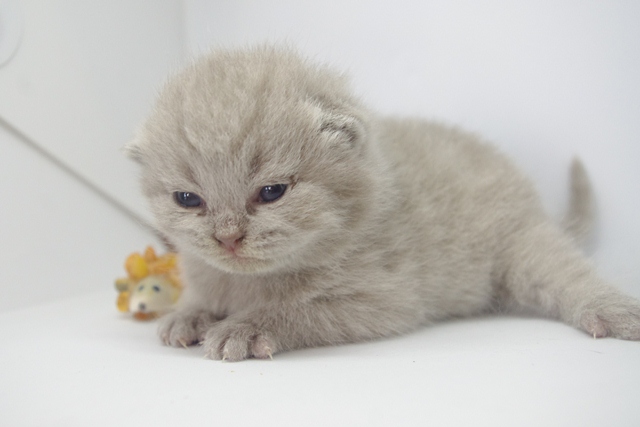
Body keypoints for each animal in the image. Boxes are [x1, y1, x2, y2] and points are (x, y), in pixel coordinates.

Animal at [126, 45, 640, 361]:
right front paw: (188, 314)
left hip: (521, 248)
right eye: (188, 199)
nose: (228, 237)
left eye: (271, 193)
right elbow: (203, 294)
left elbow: (298, 309)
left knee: (566, 273)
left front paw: (243, 328)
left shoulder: (383, 298)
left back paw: (614, 312)